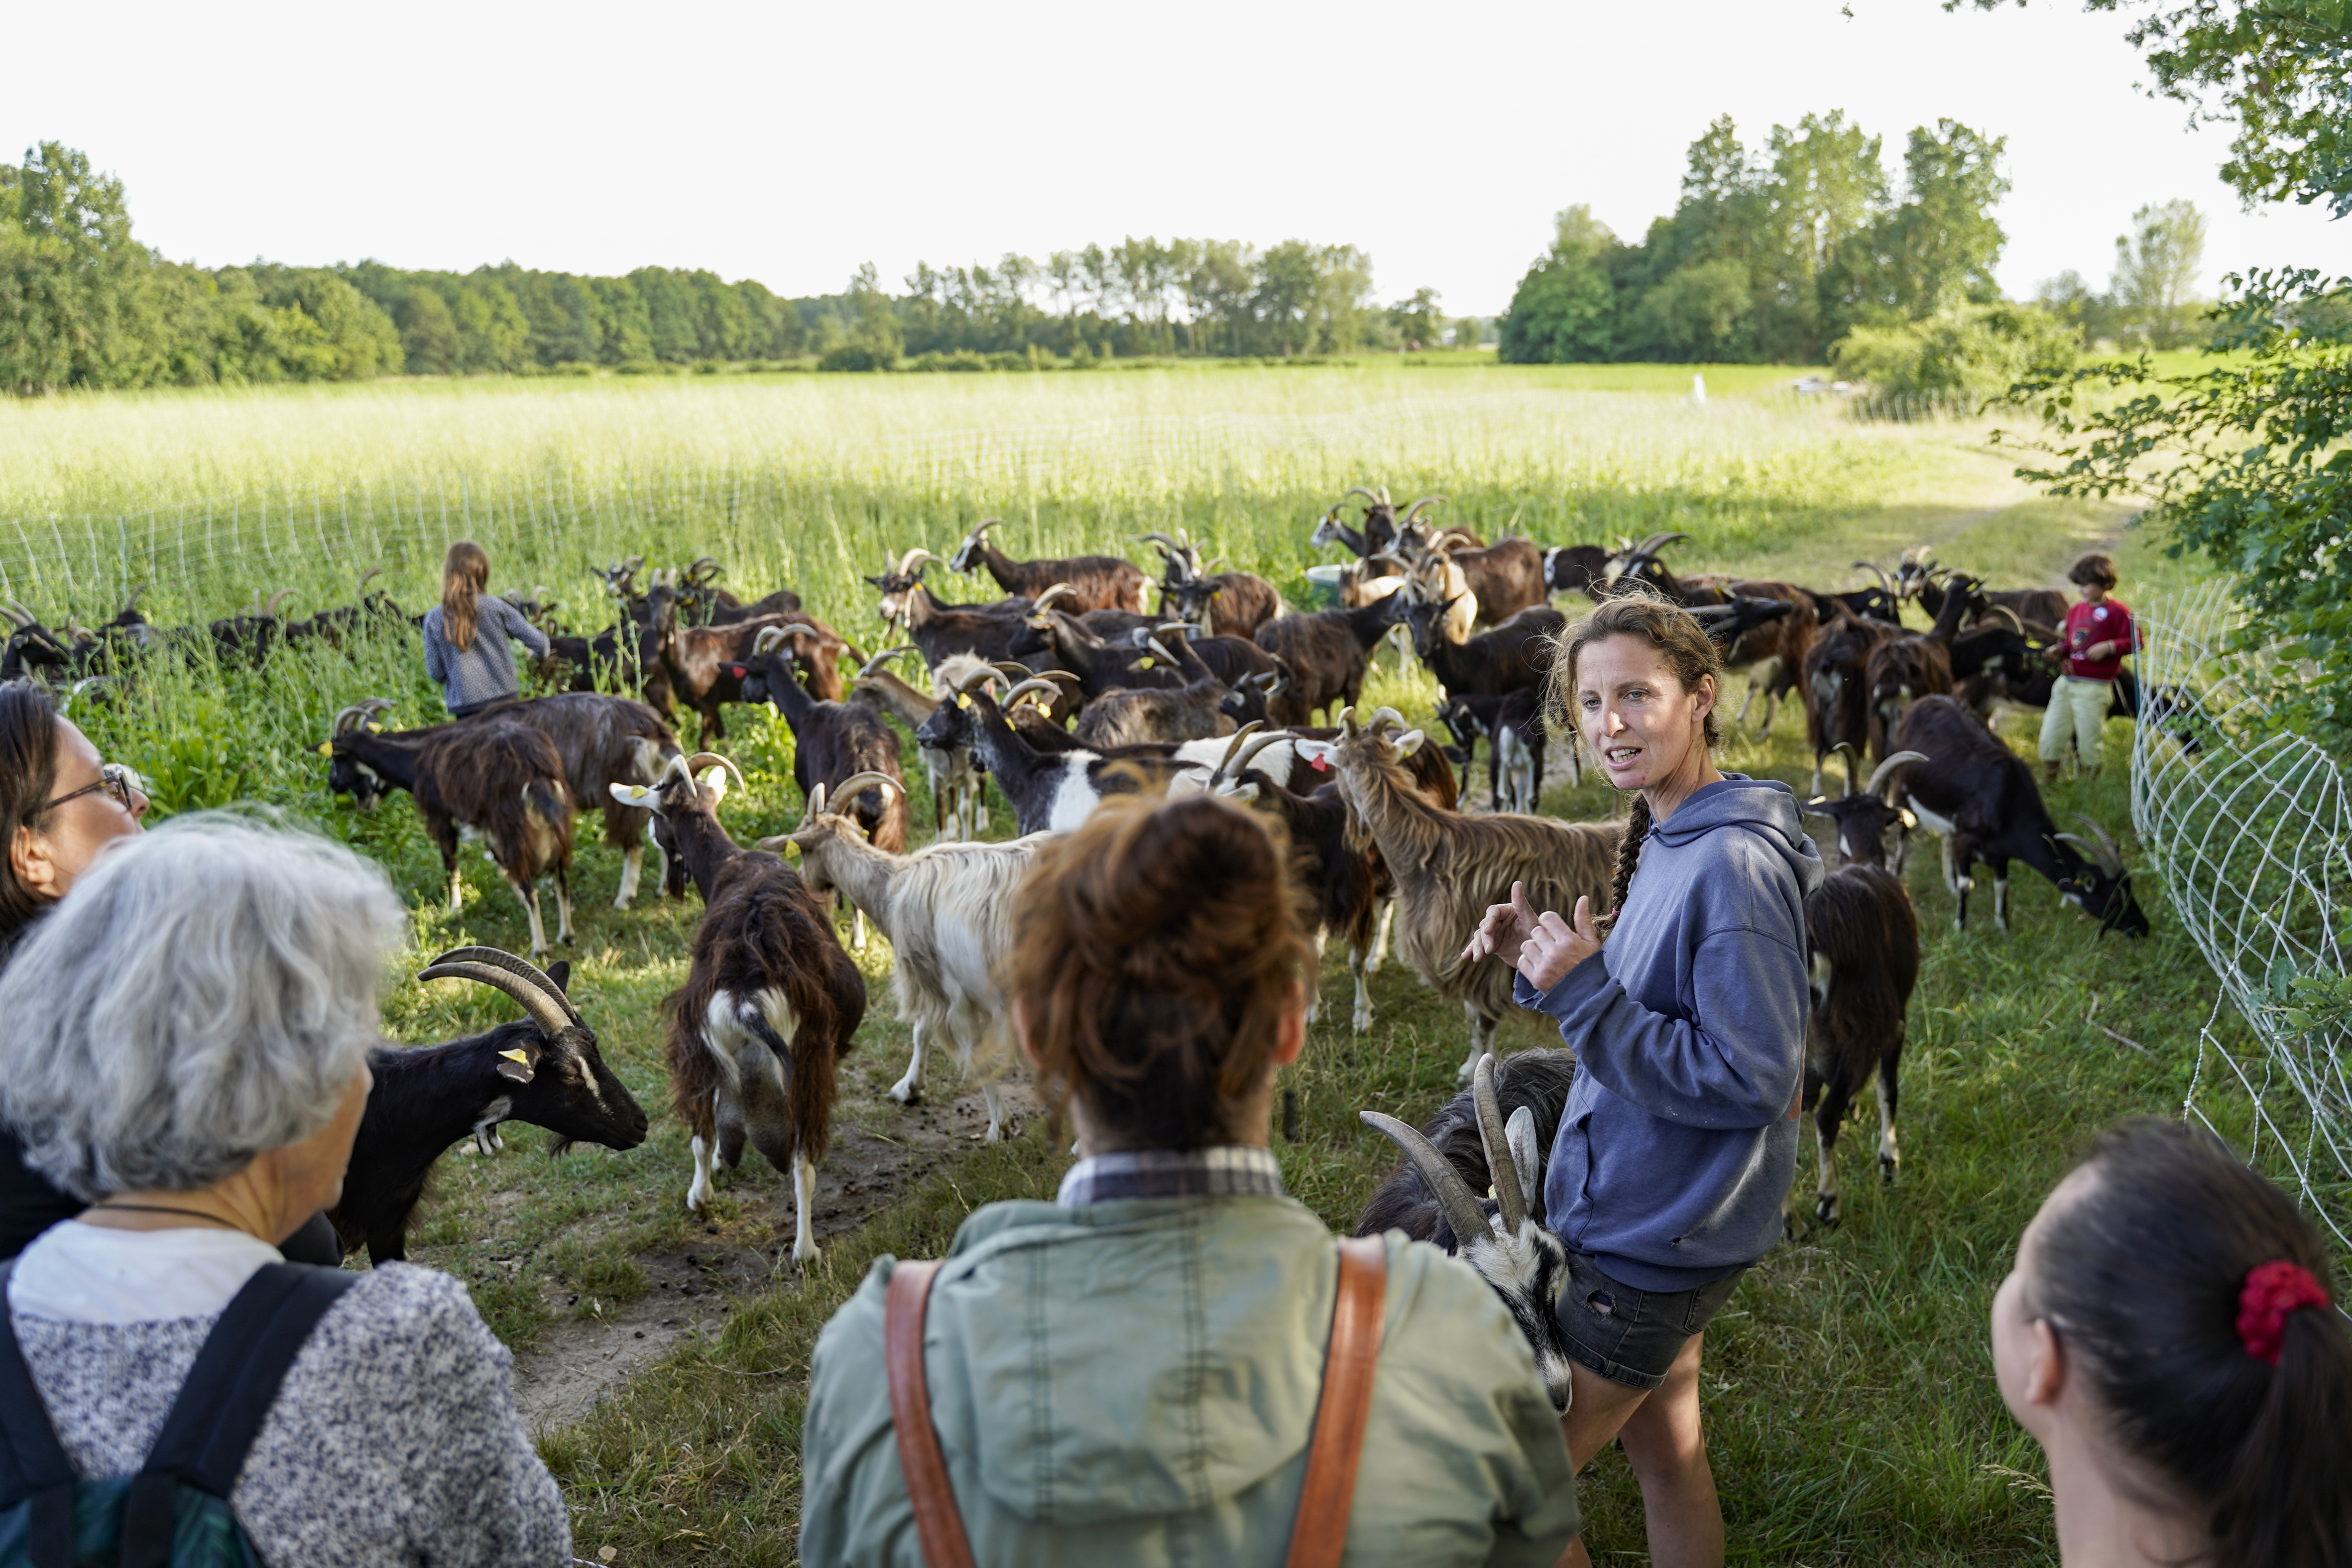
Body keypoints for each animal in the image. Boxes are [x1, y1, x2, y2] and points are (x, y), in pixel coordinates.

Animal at [606, 752, 865, 1260]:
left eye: (654, 811)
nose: (656, 838)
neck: (734, 864)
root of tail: (747, 998)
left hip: (697, 1047)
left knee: (703, 1130)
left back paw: (702, 1196)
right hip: (805, 1061)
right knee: (801, 1161)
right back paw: (806, 1249)